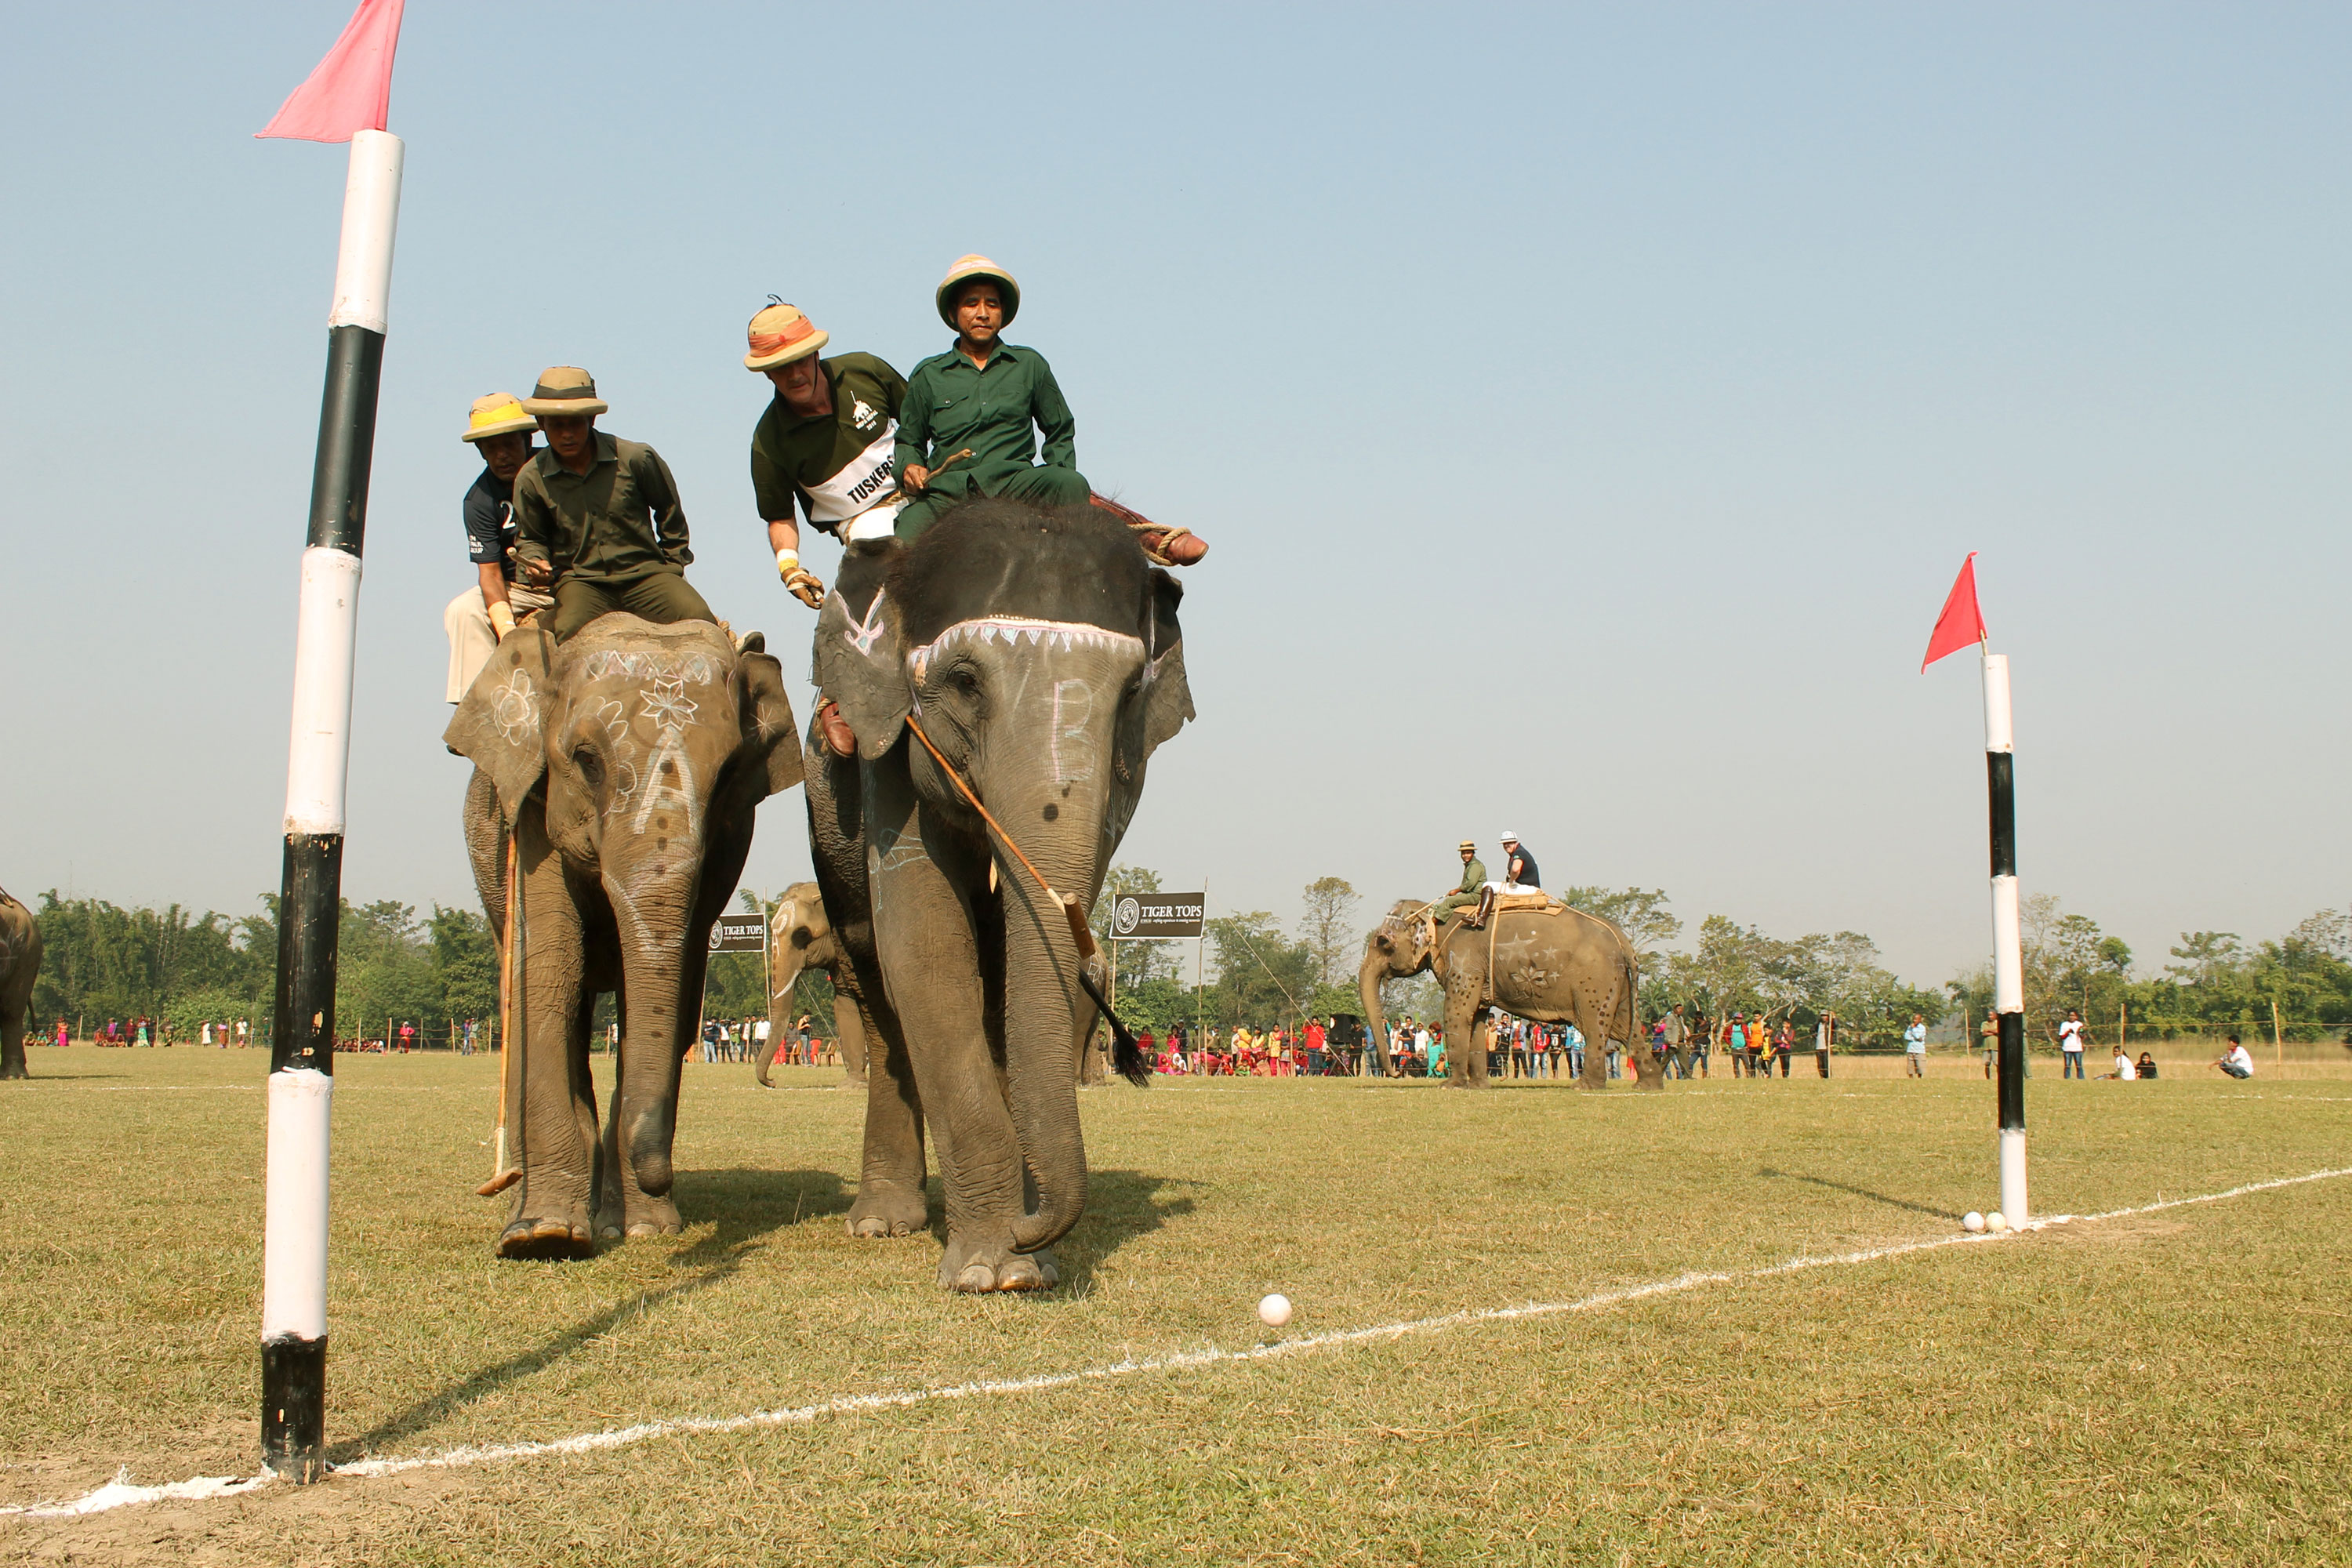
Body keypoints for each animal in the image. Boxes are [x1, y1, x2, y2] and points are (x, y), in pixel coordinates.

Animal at [443, 613, 802, 1257]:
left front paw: (644, 1228)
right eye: (586, 760)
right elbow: (548, 968)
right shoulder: (532, 814)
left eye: (729, 774)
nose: (660, 1173)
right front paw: (544, 1235)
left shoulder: (726, 847)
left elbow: (673, 992)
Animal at [810, 497, 1194, 1291]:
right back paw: (882, 1223)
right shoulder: (890, 752)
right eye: (964, 682)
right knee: (876, 984)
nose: (1030, 1226)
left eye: (1131, 694)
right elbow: (924, 948)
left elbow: (1040, 957)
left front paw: (1025, 1259)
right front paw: (994, 1271)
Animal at [1357, 897, 1653, 1090]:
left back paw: (1585, 1087)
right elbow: (1476, 1016)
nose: (1397, 1073)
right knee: (1626, 1025)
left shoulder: (1464, 961)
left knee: (1595, 1027)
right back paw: (1648, 1085)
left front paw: (1450, 1087)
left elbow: (1457, 1013)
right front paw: (1478, 1087)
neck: (1434, 914)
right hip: (1615, 983)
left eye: (1383, 941)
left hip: (1593, 982)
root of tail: (1622, 939)